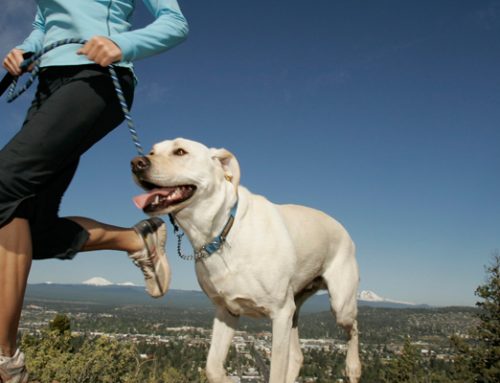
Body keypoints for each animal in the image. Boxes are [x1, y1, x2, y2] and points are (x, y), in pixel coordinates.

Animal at [131, 139, 362, 383]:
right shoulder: (227, 311)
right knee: (298, 355)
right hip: (295, 309)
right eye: (152, 151)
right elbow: (213, 368)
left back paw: (353, 367)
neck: (222, 231)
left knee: (354, 327)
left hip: (340, 305)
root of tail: (343, 229)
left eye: (180, 151)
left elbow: (276, 372)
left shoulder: (280, 313)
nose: (136, 163)